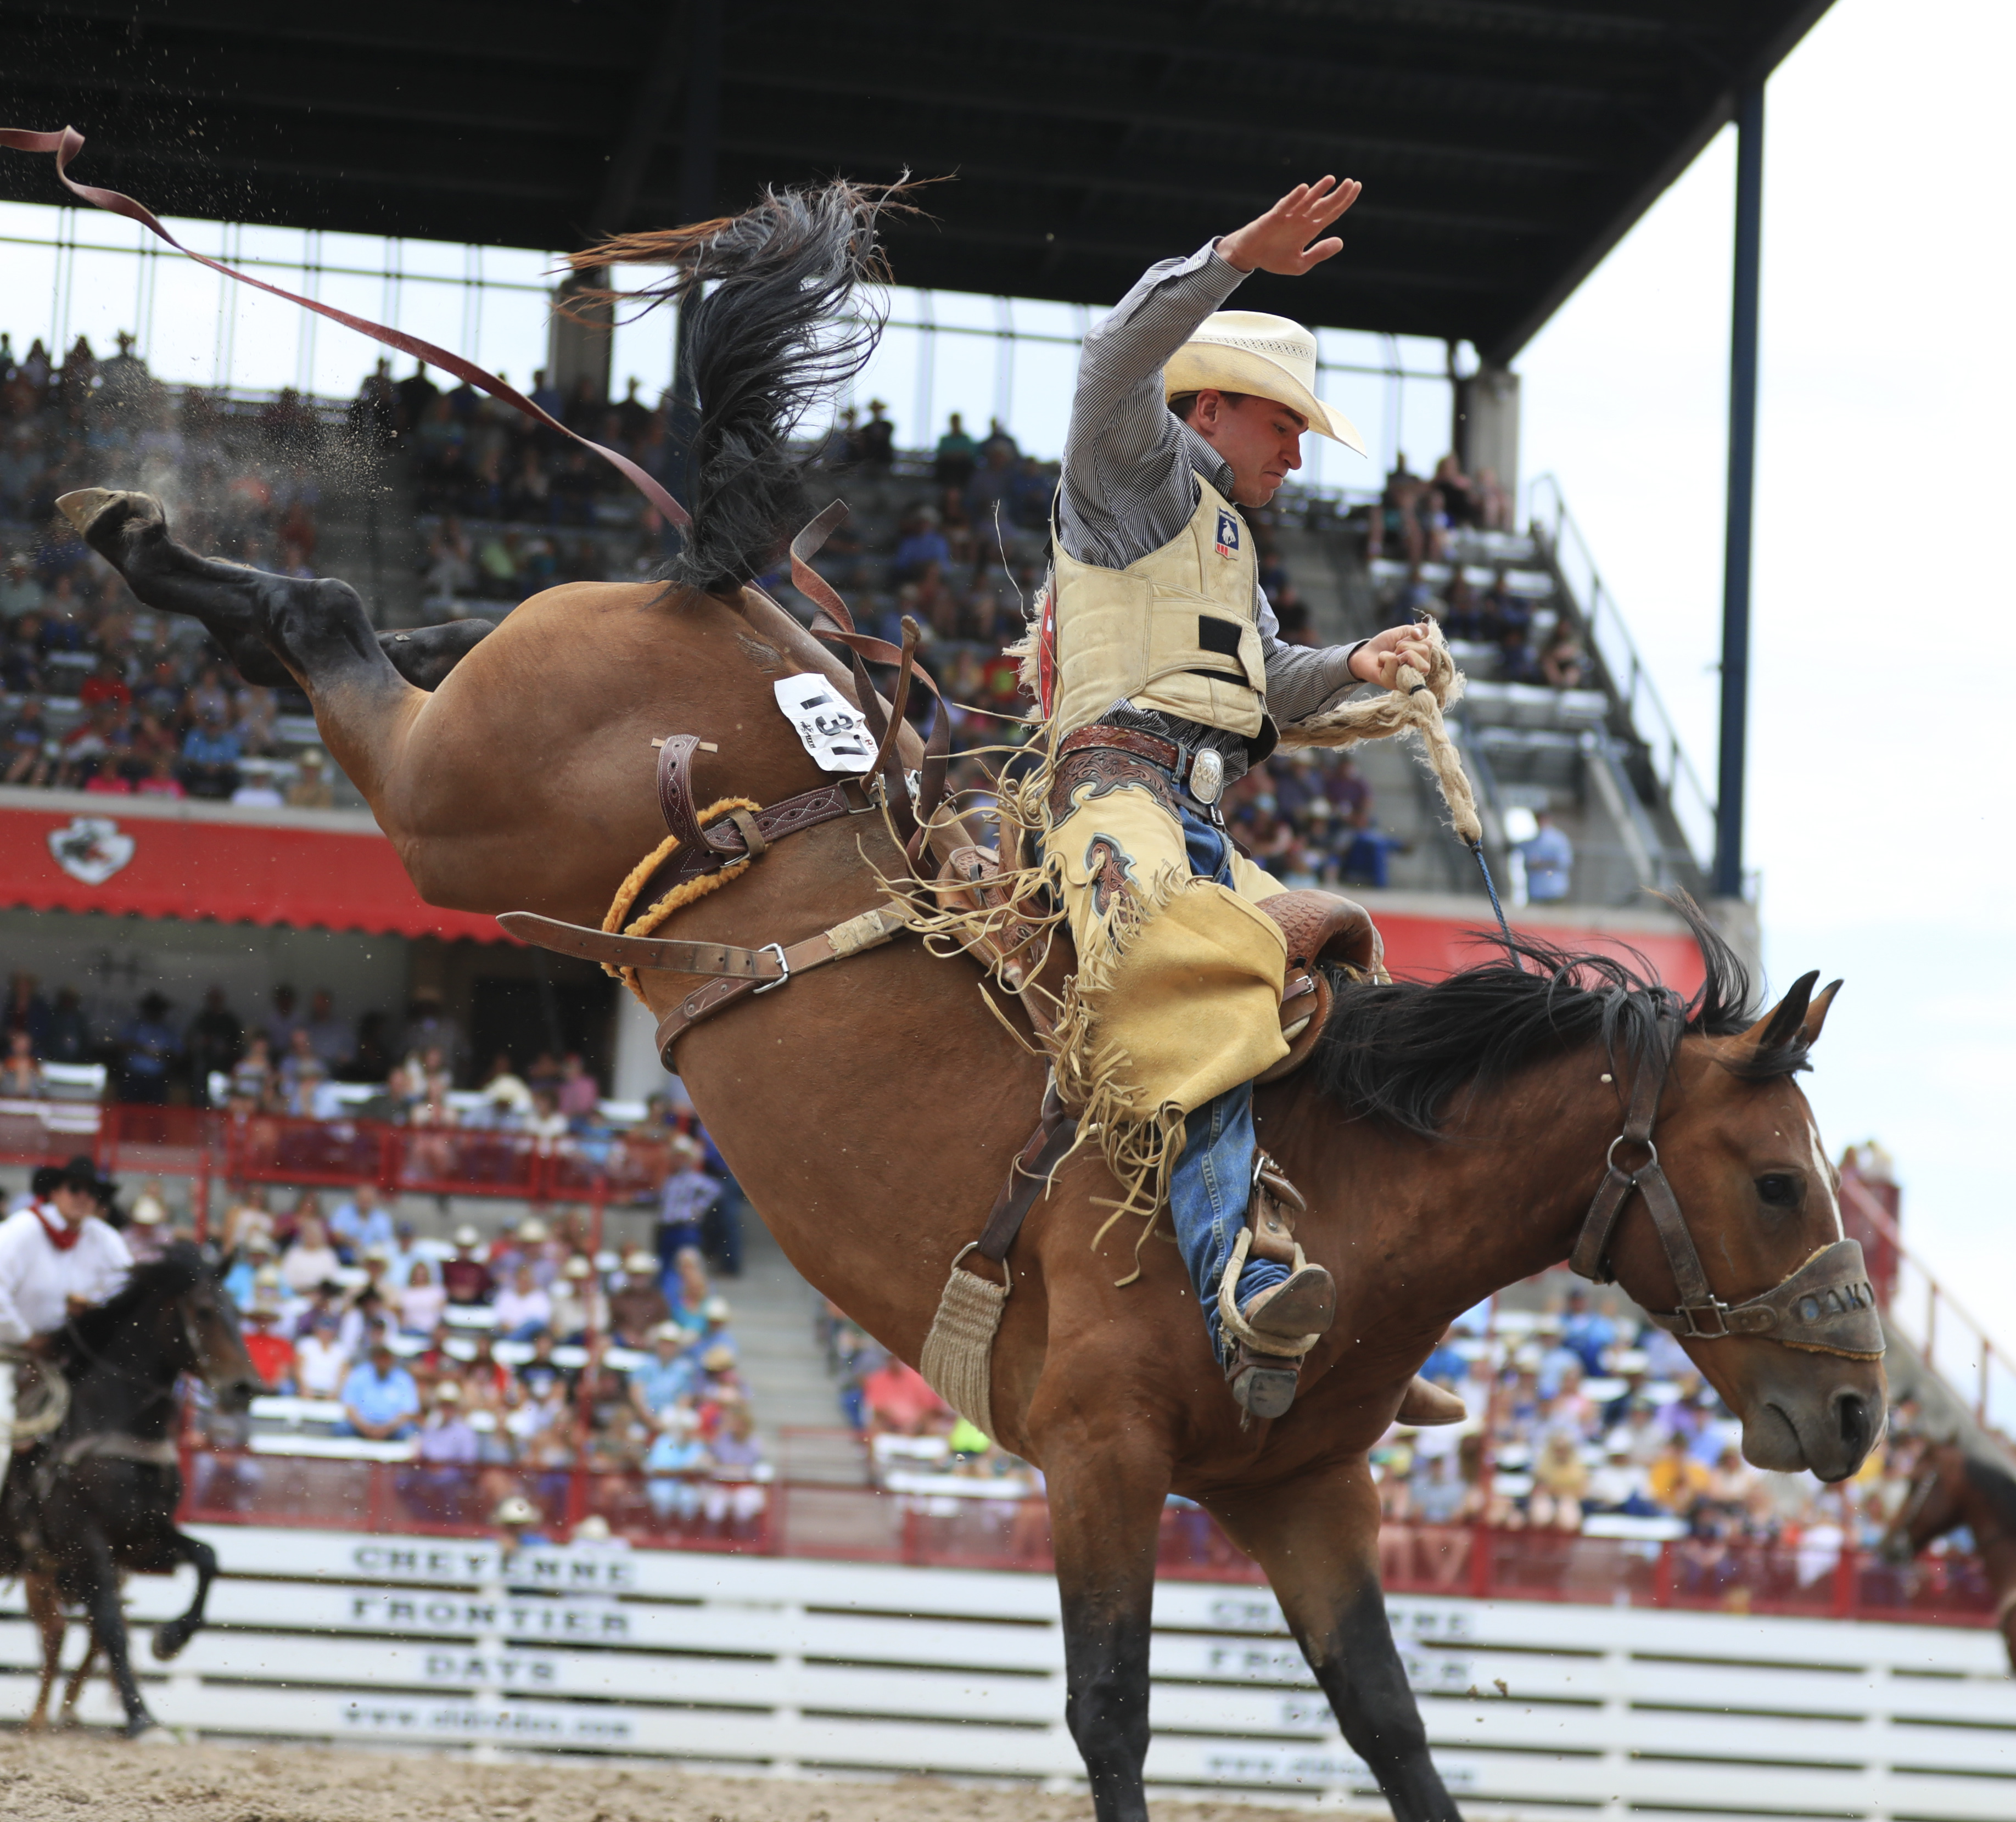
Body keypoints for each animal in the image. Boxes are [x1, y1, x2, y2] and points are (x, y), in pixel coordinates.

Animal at [1, 1241, 264, 1733]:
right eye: (203, 1310)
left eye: (237, 1312)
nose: (245, 1387)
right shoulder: (89, 1542)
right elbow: (112, 1626)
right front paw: (140, 1716)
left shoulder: (143, 1540)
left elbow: (207, 1558)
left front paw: (170, 1640)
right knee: (60, 1634)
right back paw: (45, 1717)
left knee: (65, 1637)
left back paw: (60, 1715)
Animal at [35, 174, 1886, 1822]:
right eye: (1775, 1178)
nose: (1864, 1405)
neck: (1358, 1184)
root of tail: (721, 586)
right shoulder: (1099, 1448)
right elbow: (1112, 1706)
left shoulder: (1305, 1488)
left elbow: (1389, 1721)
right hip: (450, 804)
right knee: (332, 613)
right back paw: (131, 530)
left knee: (351, 626)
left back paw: (142, 535)